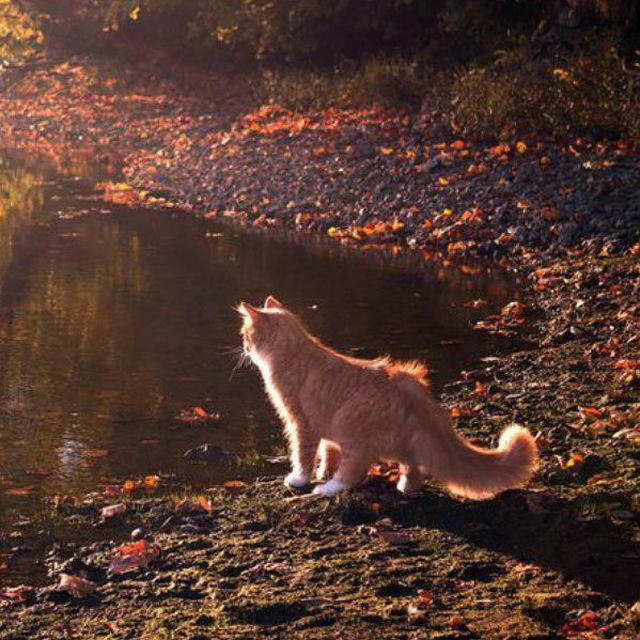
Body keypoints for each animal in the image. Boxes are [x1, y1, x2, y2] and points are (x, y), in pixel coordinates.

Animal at [238, 298, 536, 498]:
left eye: (245, 335)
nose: (244, 346)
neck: (294, 351)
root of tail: (412, 390)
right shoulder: (324, 428)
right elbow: (327, 452)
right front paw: (324, 470)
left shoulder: (300, 423)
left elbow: (303, 456)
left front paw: (302, 479)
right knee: (414, 466)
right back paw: (405, 486)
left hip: (352, 428)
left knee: (353, 473)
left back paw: (328, 488)